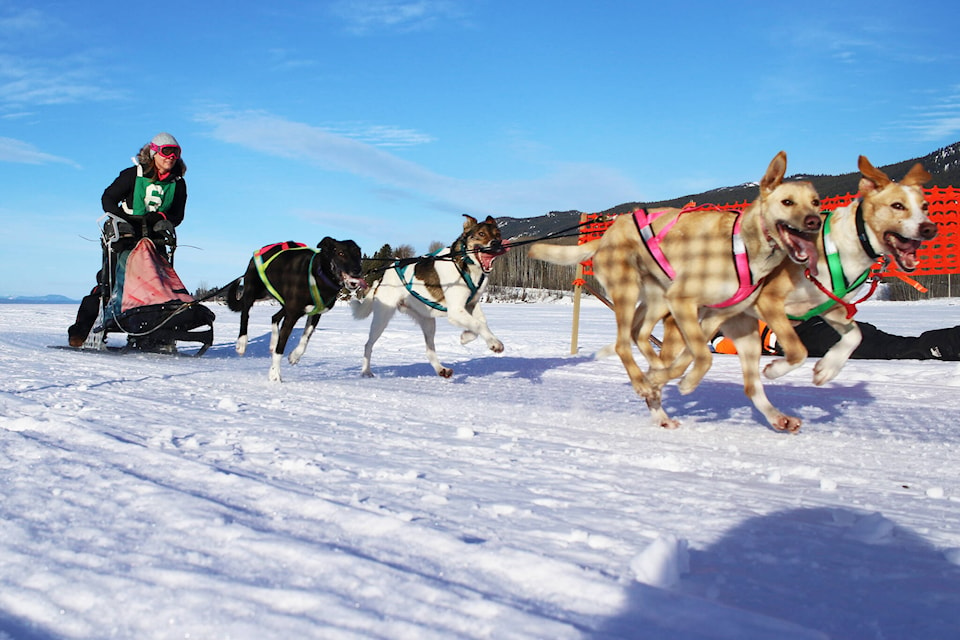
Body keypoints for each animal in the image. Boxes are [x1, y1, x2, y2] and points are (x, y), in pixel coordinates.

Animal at [227, 238, 366, 382]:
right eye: (340, 253)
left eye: (358, 254)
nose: (358, 270)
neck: (318, 275)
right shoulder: (292, 315)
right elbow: (280, 349)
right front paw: (274, 373)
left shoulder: (315, 314)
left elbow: (305, 338)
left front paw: (294, 355)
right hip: (253, 292)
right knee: (245, 313)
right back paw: (242, 342)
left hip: (281, 302)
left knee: (274, 317)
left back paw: (273, 342)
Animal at [352, 215, 510, 378]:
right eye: (481, 234)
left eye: (498, 235)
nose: (496, 243)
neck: (464, 263)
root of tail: (383, 277)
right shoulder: (456, 311)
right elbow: (479, 324)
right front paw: (494, 343)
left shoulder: (471, 304)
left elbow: (480, 323)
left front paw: (466, 337)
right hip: (382, 318)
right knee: (368, 345)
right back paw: (366, 371)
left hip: (428, 321)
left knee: (429, 351)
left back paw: (441, 369)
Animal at [528, 150, 820, 430]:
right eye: (787, 202)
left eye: (815, 202)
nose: (815, 221)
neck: (744, 248)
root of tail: (607, 234)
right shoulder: (683, 302)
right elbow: (703, 357)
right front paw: (683, 382)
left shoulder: (715, 316)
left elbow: (697, 355)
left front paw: (668, 376)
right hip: (631, 292)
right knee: (624, 343)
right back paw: (645, 382)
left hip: (660, 301)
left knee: (640, 334)